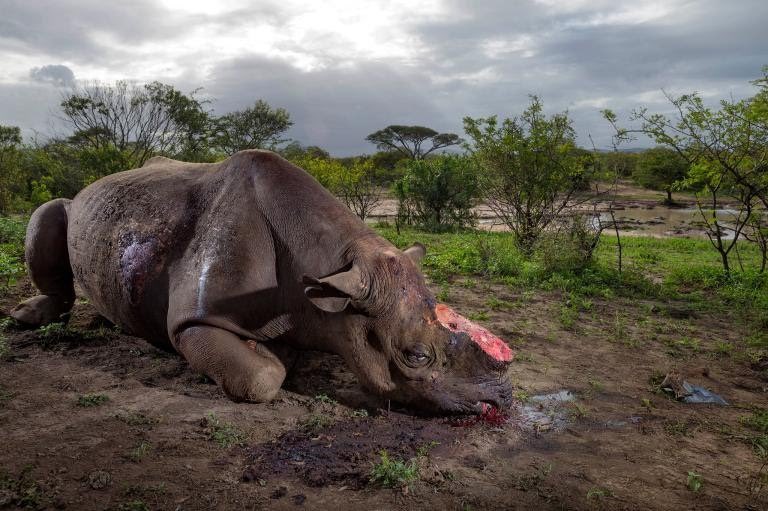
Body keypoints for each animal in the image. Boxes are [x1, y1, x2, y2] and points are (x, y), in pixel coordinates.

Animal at [10, 150, 514, 414]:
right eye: (415, 356)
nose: (501, 402)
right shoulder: (193, 321)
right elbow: (262, 378)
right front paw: (273, 358)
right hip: (80, 208)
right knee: (50, 211)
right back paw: (26, 317)